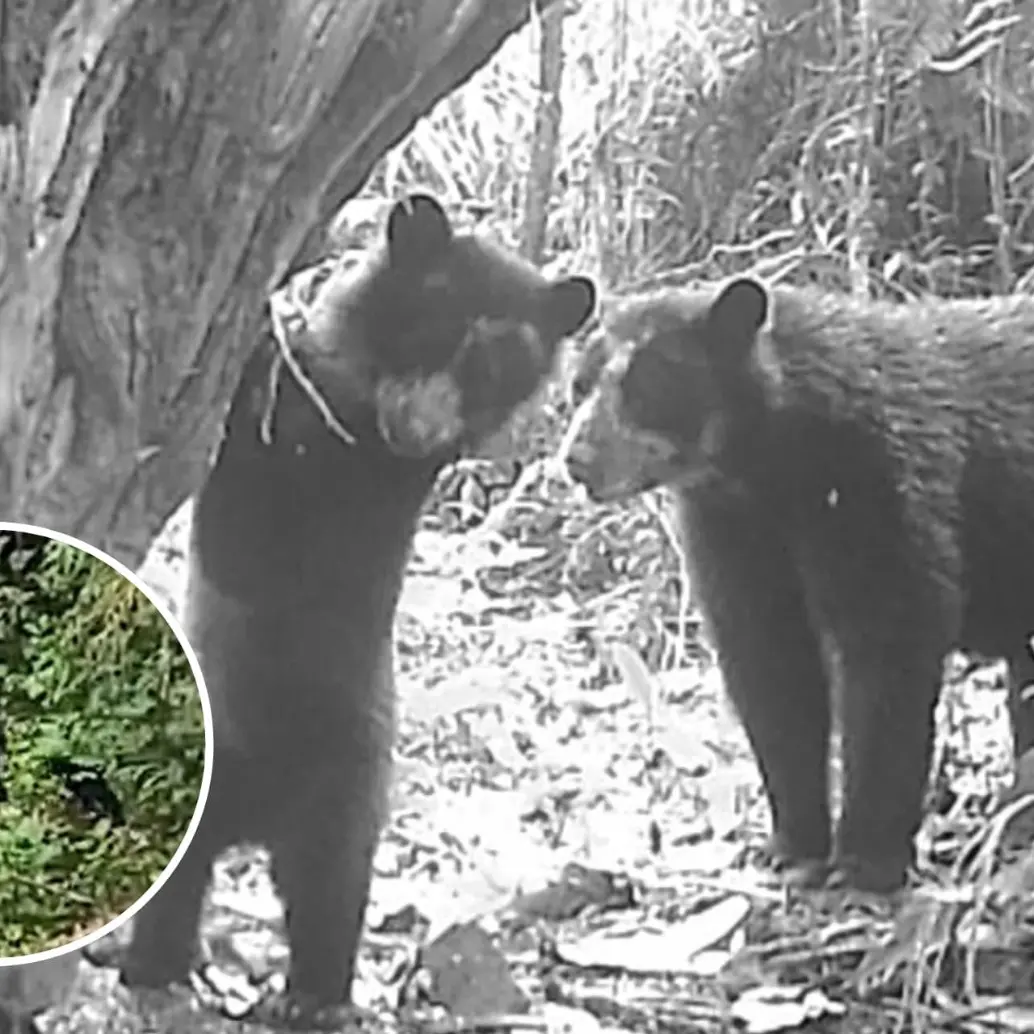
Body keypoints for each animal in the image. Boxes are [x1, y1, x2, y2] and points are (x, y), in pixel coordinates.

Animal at [116, 194, 596, 1025]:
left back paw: (306, 996)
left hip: (345, 786)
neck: (366, 420)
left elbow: (257, 494)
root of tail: (255, 815)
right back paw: (160, 963)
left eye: (495, 370)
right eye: (429, 325)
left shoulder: (335, 487)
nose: (421, 428)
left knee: (330, 891)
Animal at [562, 275, 1034, 894]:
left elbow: (887, 652)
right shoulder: (734, 533)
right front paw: (793, 846)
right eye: (578, 385)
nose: (576, 459)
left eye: (650, 383)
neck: (765, 469)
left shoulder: (875, 486)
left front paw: (865, 859)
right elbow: (771, 670)